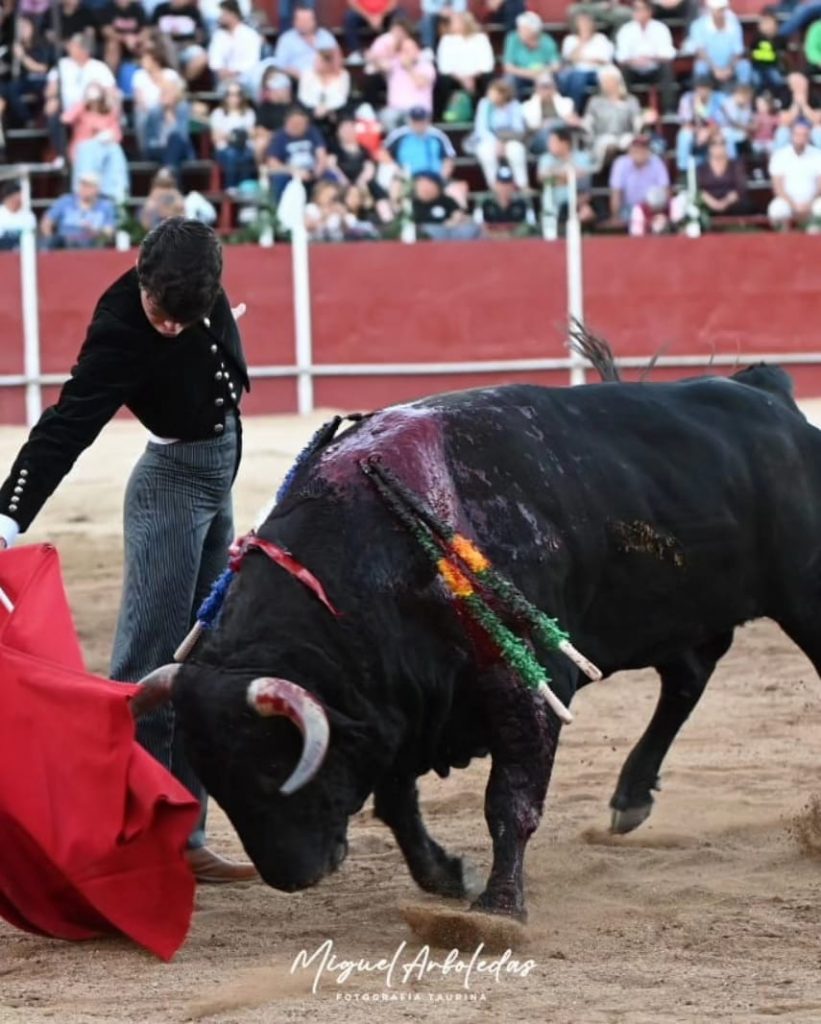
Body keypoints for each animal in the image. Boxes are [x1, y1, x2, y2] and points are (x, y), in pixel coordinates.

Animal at [158, 368, 818, 921]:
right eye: (213, 778)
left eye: (279, 764)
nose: (294, 876)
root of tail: (768, 394)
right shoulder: (399, 704)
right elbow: (396, 802)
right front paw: (446, 876)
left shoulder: (528, 684)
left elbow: (509, 799)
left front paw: (500, 908)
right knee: (687, 676)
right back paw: (630, 799)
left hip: (799, 595)